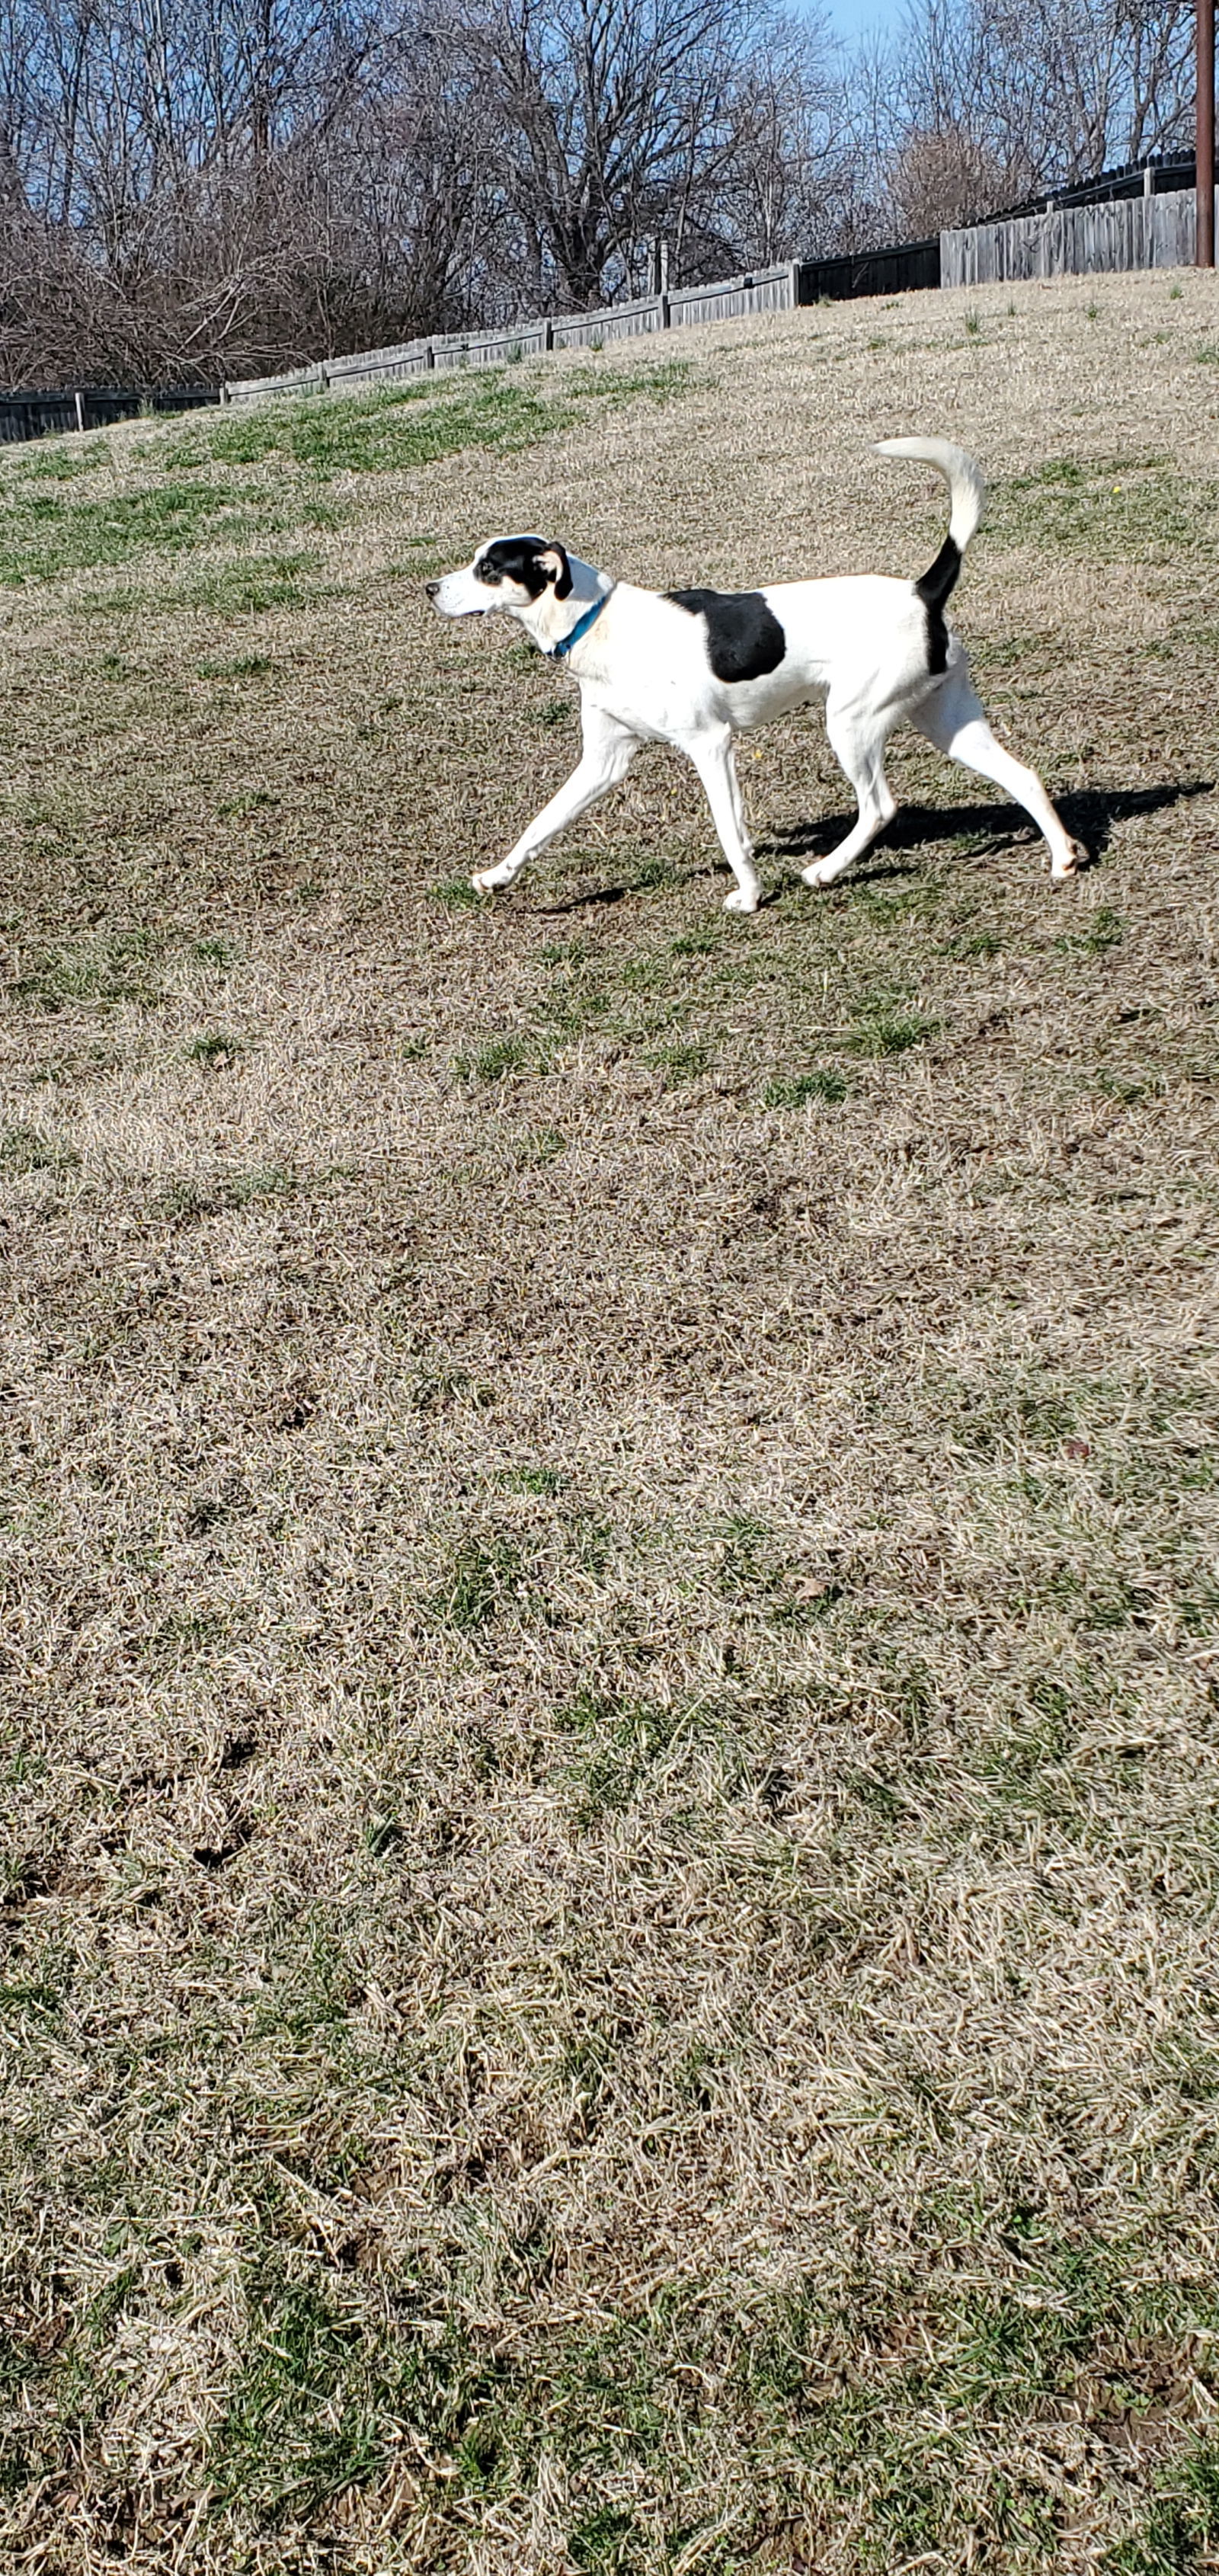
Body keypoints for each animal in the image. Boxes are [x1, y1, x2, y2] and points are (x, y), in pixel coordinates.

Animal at [425, 443, 1082, 917]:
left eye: (488, 569)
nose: (429, 588)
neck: (596, 620)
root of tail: (923, 591)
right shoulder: (603, 761)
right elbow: (541, 824)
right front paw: (497, 876)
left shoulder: (710, 744)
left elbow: (727, 829)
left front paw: (748, 894)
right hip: (947, 722)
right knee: (1023, 776)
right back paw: (1063, 858)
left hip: (851, 723)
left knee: (879, 806)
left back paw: (824, 871)